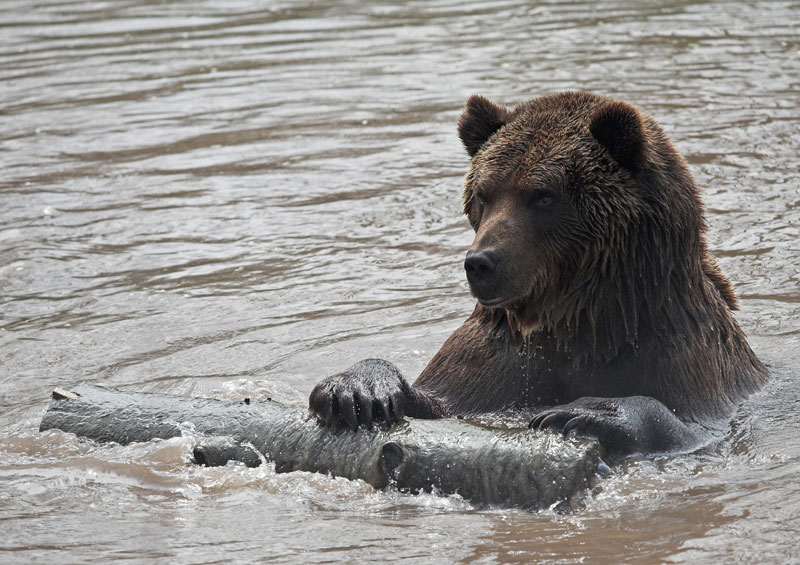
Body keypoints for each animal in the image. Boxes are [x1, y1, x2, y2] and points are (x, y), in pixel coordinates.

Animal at [308, 92, 768, 460]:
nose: (481, 263)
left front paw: (582, 411)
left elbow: (688, 424)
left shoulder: (683, 361)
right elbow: (444, 400)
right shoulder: (503, 360)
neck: (580, 321)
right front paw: (357, 390)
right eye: (484, 193)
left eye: (543, 196)